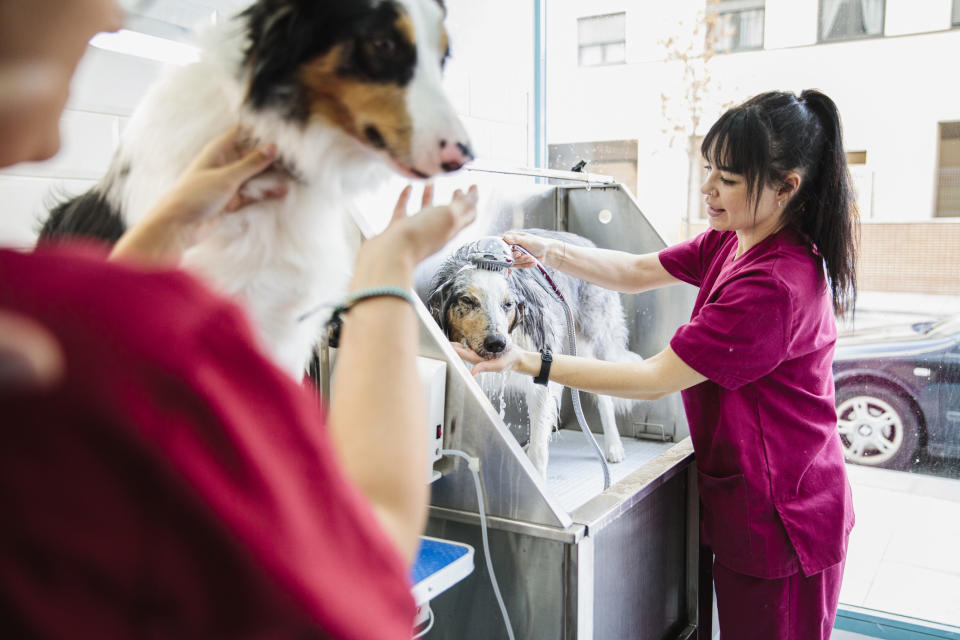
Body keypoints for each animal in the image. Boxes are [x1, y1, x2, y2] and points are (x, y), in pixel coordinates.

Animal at [426, 229, 636, 476]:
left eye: (508, 304)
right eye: (468, 300)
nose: (497, 343)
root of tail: (586, 242)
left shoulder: (541, 380)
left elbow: (539, 450)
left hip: (588, 342)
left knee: (604, 398)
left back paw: (614, 446)